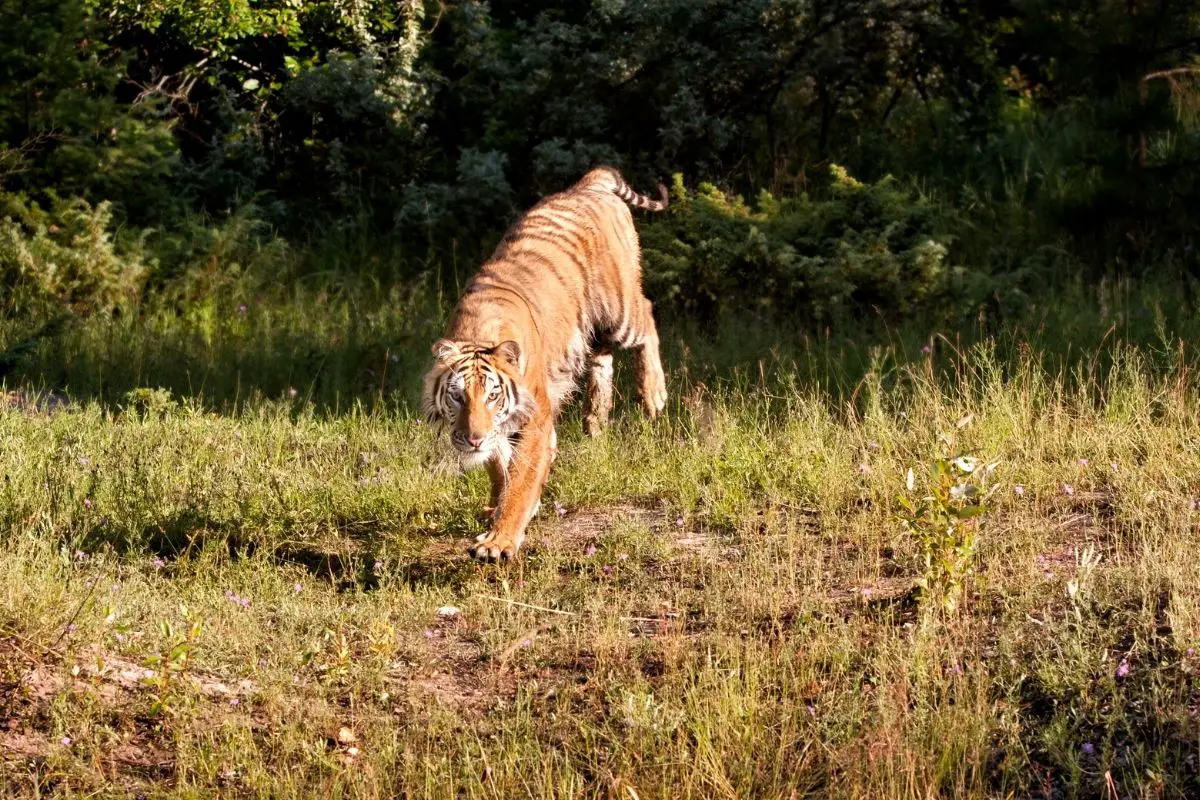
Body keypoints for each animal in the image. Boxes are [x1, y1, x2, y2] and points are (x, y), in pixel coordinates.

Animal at [420, 165, 667, 561]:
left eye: (492, 395)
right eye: (457, 396)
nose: (472, 439)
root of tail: (588, 184)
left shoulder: (535, 422)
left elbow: (521, 481)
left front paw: (499, 540)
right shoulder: (498, 430)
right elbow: (499, 466)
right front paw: (494, 505)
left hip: (618, 308)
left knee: (647, 314)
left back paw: (653, 394)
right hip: (590, 330)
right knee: (602, 361)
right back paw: (595, 420)